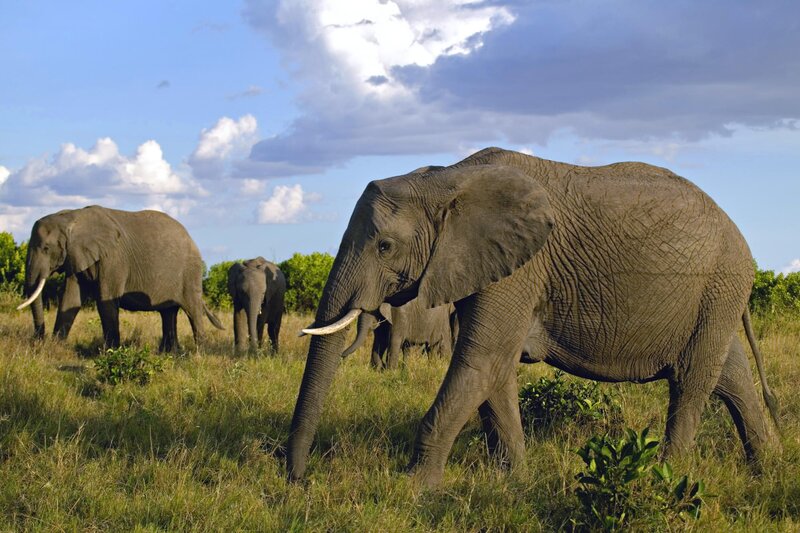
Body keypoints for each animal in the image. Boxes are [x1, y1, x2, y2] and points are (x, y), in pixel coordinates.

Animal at [18, 205, 224, 352]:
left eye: (46, 248)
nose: (37, 339)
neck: (72, 217)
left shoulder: (113, 259)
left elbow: (106, 301)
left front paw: (110, 352)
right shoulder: (77, 256)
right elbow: (70, 299)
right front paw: (55, 348)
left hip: (190, 272)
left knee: (192, 309)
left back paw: (198, 353)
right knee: (168, 312)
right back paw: (169, 353)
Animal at [288, 147, 780, 487]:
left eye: (385, 246)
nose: (297, 478)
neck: (446, 179)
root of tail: (741, 240)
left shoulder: (520, 268)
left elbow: (481, 362)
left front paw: (413, 490)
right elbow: (496, 370)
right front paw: (512, 480)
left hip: (719, 284)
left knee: (692, 382)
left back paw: (664, 479)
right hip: (715, 297)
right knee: (730, 375)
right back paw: (768, 468)